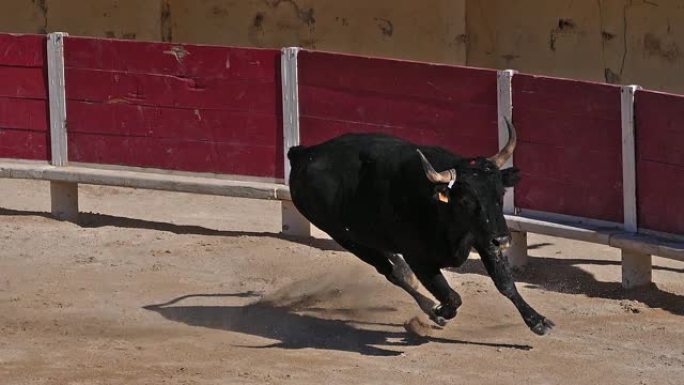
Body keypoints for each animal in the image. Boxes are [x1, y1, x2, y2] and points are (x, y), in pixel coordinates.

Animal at [286, 119, 552, 332]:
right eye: (466, 200)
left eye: (500, 194)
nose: (504, 240)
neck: (439, 205)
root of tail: (303, 154)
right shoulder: (420, 259)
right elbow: (452, 297)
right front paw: (440, 311)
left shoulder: (484, 238)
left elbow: (505, 283)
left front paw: (537, 321)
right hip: (346, 238)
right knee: (390, 272)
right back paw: (429, 308)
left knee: (394, 265)